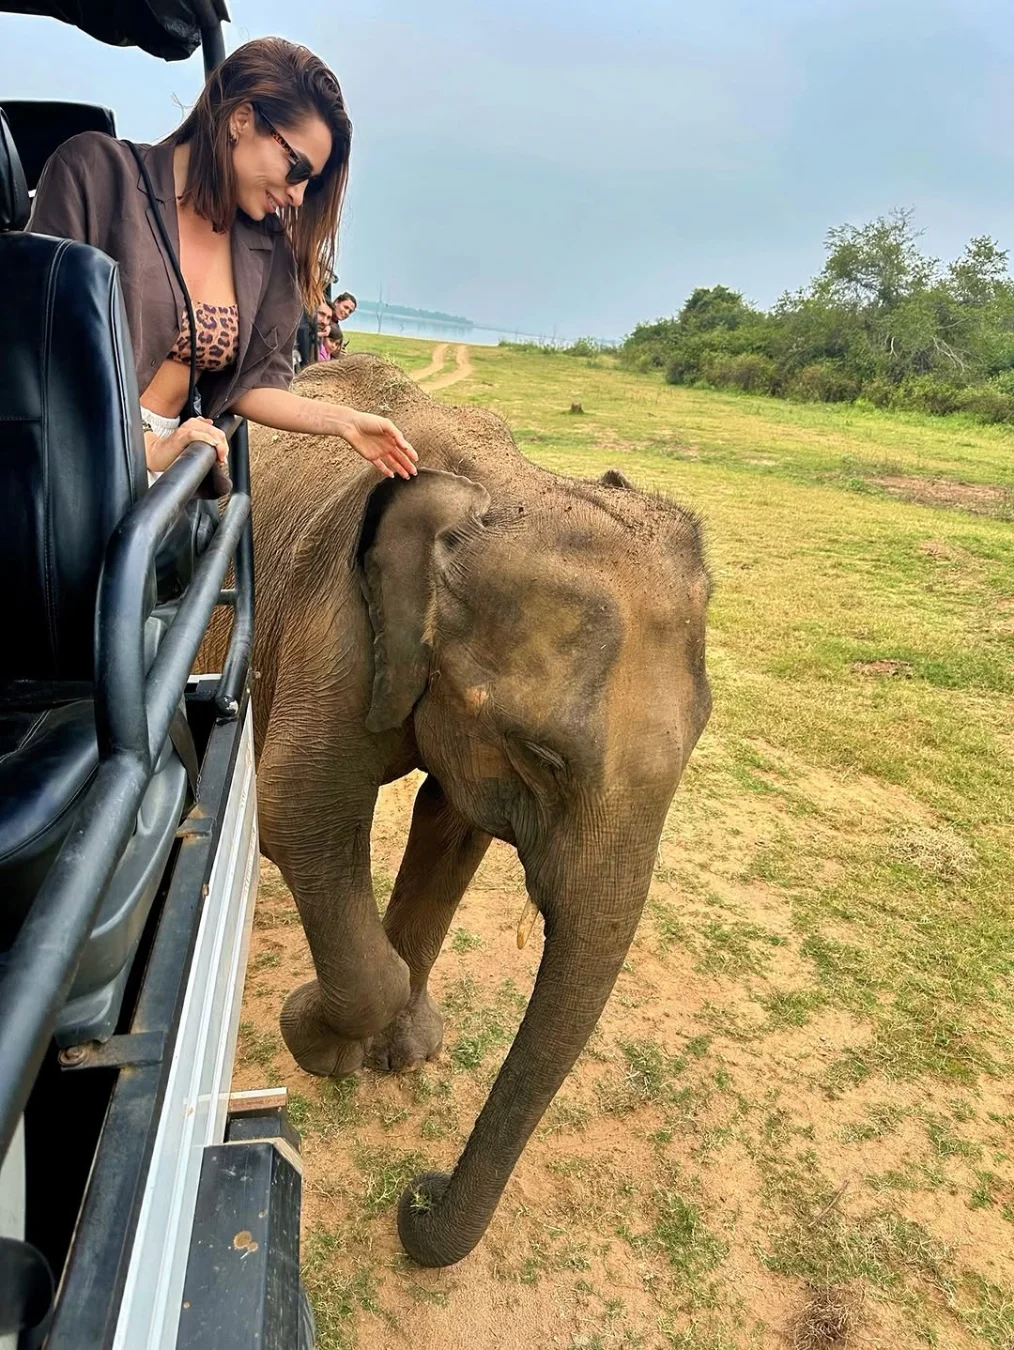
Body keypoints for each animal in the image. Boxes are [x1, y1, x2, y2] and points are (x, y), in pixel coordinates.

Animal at [209, 352, 712, 1267]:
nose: (419, 1192)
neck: (499, 491)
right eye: (544, 755)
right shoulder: (334, 623)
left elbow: (454, 829)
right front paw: (315, 1040)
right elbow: (297, 811)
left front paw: (402, 1055)